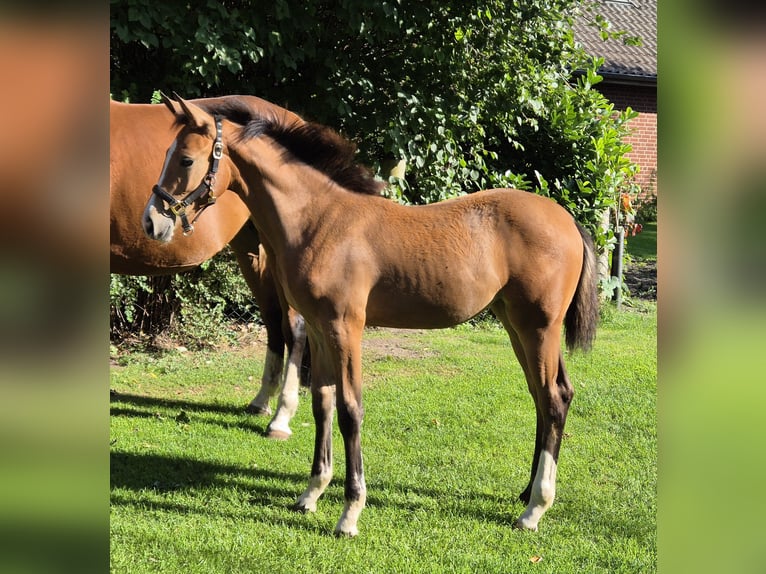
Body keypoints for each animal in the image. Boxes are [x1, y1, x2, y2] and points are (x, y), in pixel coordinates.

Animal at [110, 96, 309, 439]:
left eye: (186, 161)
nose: (150, 221)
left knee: (293, 326)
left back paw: (281, 417)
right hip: (252, 252)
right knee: (273, 320)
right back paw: (261, 400)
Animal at [144, 96, 599, 537]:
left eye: (186, 160)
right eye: (167, 153)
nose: (152, 222)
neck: (320, 221)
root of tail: (567, 220)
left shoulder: (345, 328)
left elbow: (350, 410)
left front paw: (350, 513)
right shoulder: (319, 329)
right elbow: (323, 404)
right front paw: (311, 494)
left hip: (538, 327)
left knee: (553, 399)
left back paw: (534, 509)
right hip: (515, 325)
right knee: (546, 396)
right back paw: (525, 493)